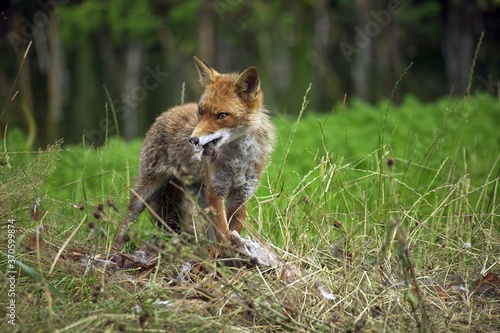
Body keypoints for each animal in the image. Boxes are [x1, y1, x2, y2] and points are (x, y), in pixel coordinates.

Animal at [114, 56, 276, 249]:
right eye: (200, 111)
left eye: (222, 115)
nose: (193, 140)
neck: (237, 160)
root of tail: (168, 111)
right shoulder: (216, 191)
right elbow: (224, 234)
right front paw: (228, 253)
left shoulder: (242, 194)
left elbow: (232, 229)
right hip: (145, 191)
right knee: (125, 223)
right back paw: (114, 249)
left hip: (200, 196)